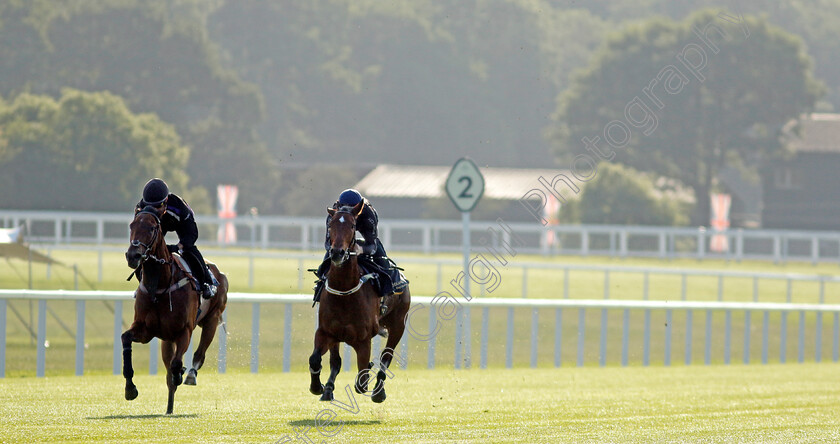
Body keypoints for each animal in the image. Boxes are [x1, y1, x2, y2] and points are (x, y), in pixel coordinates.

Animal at [120, 206, 226, 414]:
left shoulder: (184, 330)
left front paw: (181, 373)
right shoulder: (146, 331)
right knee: (169, 375)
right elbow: (125, 338)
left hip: (212, 319)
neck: (160, 285)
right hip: (166, 340)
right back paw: (169, 408)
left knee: (199, 354)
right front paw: (130, 388)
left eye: (152, 228)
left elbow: (177, 364)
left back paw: (190, 374)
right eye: (131, 225)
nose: (133, 255)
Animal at [310, 201, 412, 402]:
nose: (337, 252)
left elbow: (362, 380)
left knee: (386, 357)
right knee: (336, 361)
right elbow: (316, 359)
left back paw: (379, 391)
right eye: (330, 225)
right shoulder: (326, 332)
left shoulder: (363, 339)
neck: (344, 292)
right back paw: (328, 389)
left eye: (352, 226)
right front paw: (319, 387)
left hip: (398, 324)